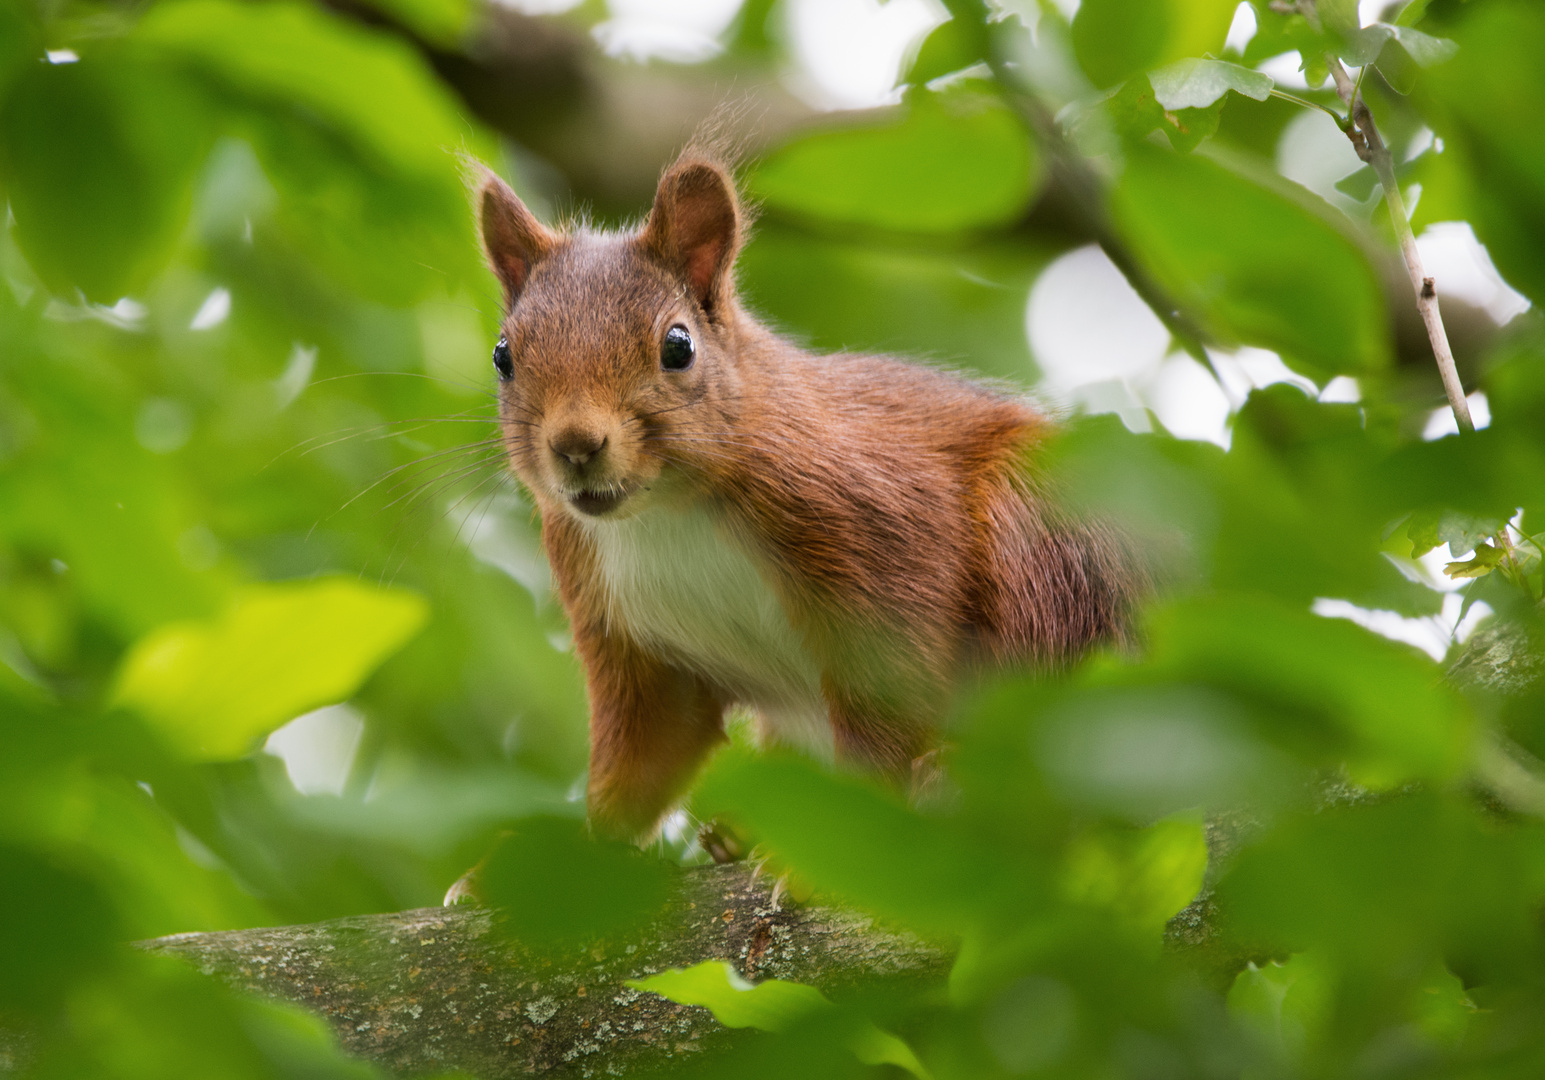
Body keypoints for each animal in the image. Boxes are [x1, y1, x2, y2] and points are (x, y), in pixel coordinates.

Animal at [475, 152, 1143, 846]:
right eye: (503, 356)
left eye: (678, 346)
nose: (576, 445)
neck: (667, 511)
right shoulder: (621, 628)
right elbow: (644, 752)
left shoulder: (878, 532)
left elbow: (890, 694)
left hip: (1047, 539)